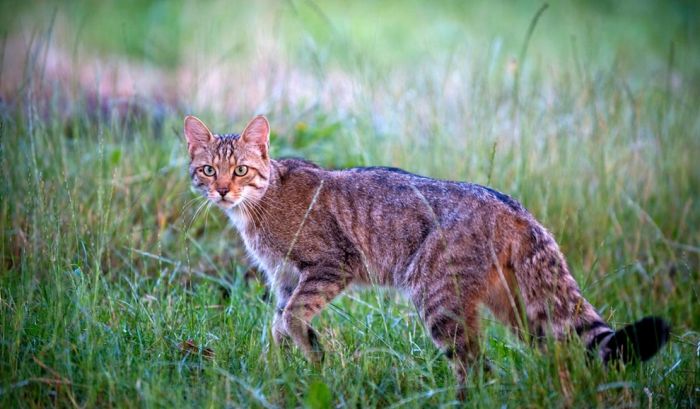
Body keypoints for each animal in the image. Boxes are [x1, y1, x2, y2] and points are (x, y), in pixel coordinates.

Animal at [183, 113, 668, 394]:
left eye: (240, 170)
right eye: (207, 170)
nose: (222, 190)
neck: (259, 204)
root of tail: (515, 207)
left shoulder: (329, 265)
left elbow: (290, 318)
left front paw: (311, 356)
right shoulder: (284, 278)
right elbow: (279, 323)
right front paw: (281, 372)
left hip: (437, 297)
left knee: (477, 369)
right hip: (523, 311)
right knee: (557, 356)